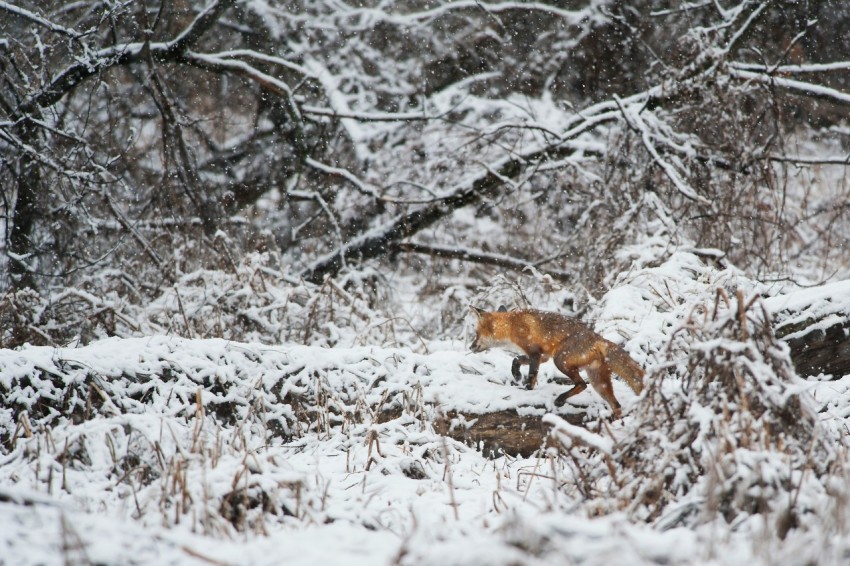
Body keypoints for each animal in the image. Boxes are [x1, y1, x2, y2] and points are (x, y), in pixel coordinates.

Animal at [470, 306, 644, 418]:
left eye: (476, 333)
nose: (470, 347)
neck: (512, 324)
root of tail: (599, 338)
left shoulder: (535, 353)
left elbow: (531, 375)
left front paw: (527, 389)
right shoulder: (543, 356)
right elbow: (516, 359)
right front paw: (517, 374)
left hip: (560, 360)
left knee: (582, 384)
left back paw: (561, 399)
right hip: (598, 382)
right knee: (616, 405)